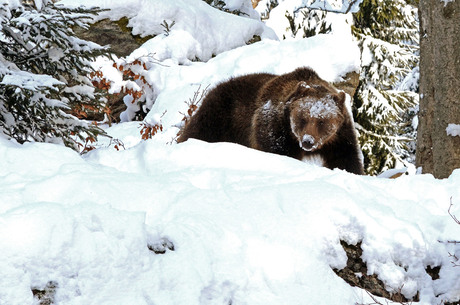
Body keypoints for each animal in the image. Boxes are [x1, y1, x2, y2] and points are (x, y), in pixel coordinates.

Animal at [176, 67, 362, 175]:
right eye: (302, 119)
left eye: (323, 122)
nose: (308, 141)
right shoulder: (274, 128)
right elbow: (277, 152)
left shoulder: (339, 137)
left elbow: (346, 159)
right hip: (219, 116)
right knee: (199, 132)